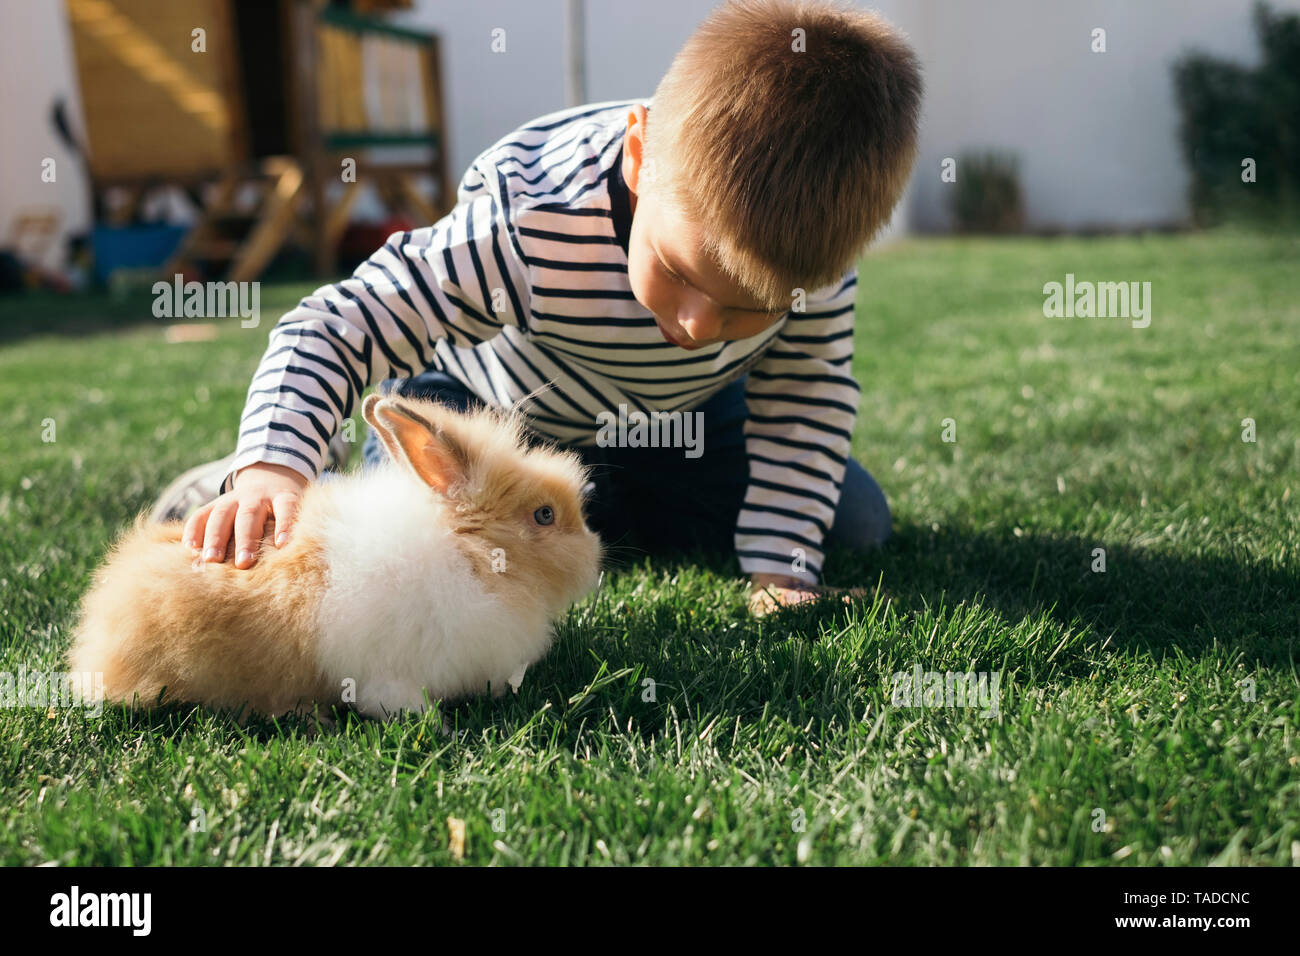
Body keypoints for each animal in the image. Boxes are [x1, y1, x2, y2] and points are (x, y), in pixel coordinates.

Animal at [63, 392, 600, 723]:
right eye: (545, 515)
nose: (595, 557)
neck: (472, 553)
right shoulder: (391, 673)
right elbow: (399, 702)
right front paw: (435, 725)